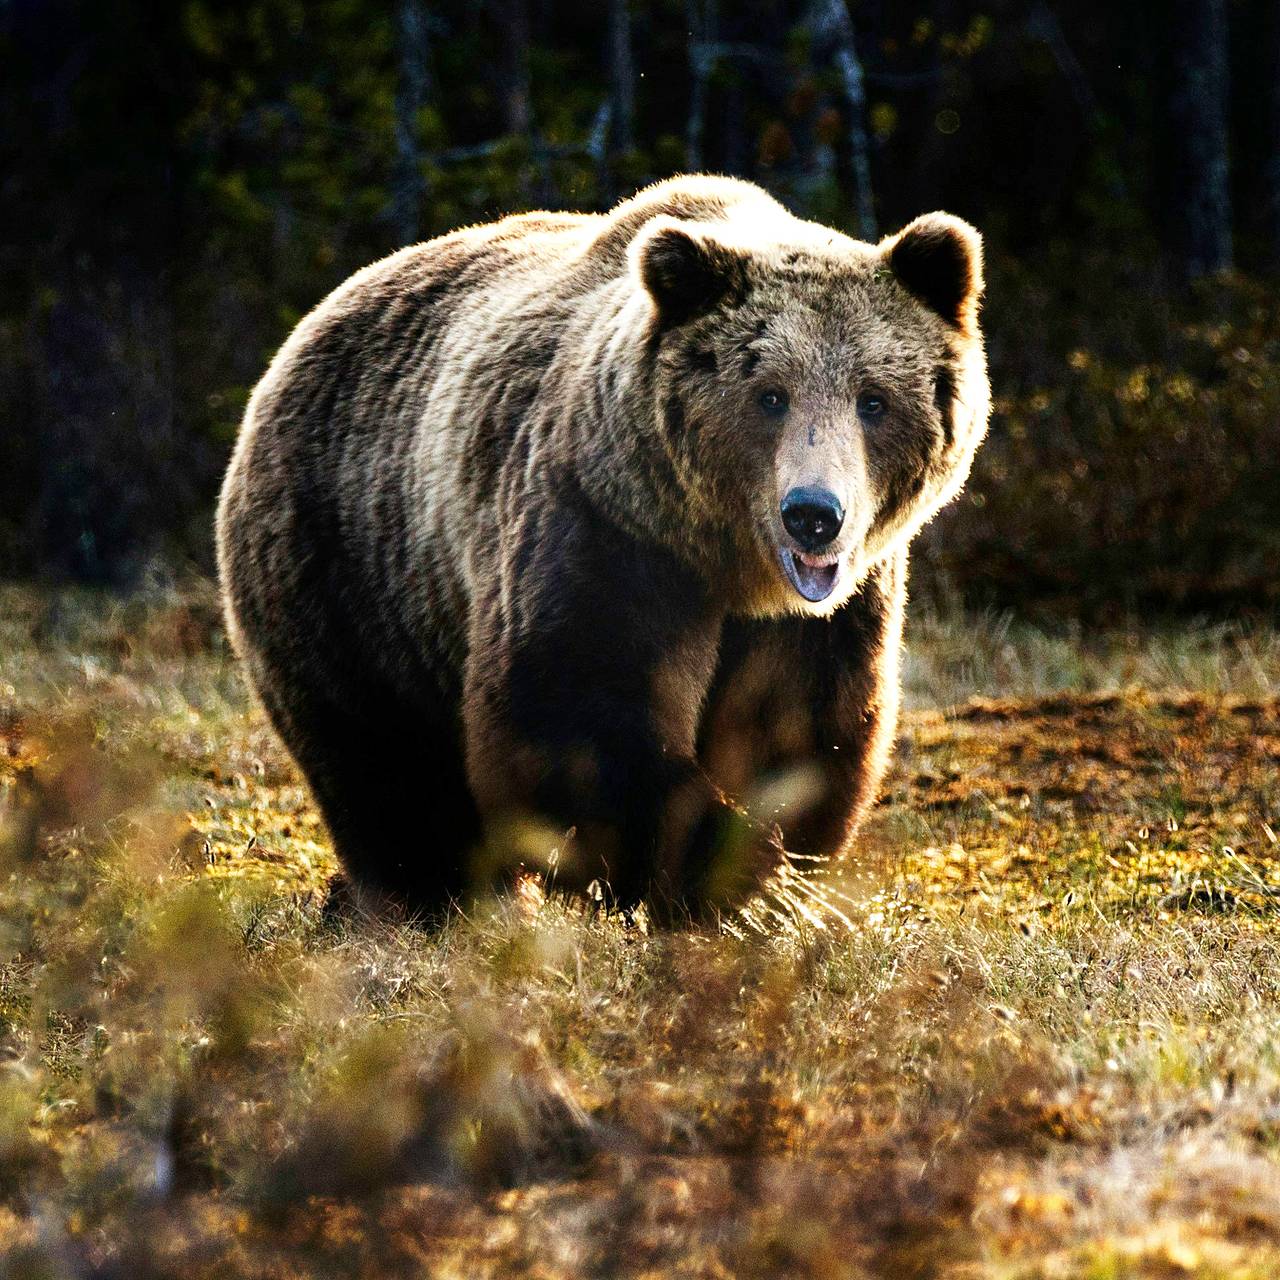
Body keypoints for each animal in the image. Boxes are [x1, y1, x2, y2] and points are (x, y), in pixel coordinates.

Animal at [217, 177, 988, 921]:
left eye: (873, 399)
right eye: (770, 395)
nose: (813, 516)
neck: (728, 563)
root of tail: (306, 326)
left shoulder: (832, 608)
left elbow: (801, 730)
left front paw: (769, 877)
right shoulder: (605, 528)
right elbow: (576, 712)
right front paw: (725, 877)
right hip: (350, 562)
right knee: (384, 762)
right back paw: (431, 899)